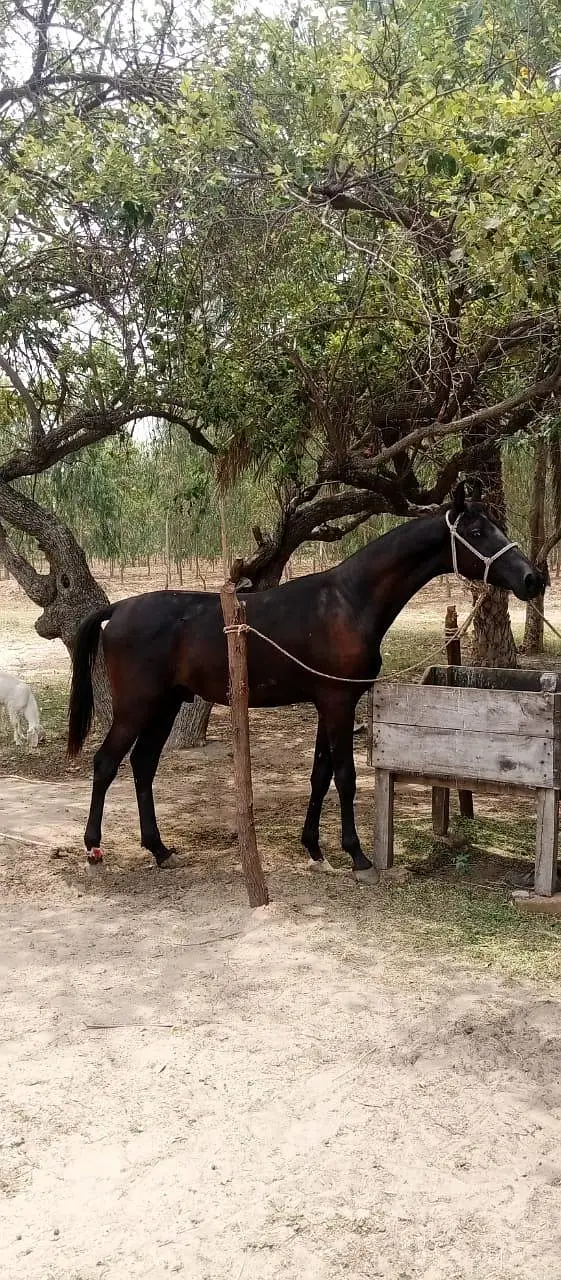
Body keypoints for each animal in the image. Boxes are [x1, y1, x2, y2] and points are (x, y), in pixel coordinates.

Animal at [67, 482, 546, 877]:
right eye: (478, 531)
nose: (532, 578)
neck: (349, 601)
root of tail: (120, 608)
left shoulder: (327, 703)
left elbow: (320, 774)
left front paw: (314, 848)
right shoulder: (338, 702)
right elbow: (346, 776)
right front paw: (357, 855)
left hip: (165, 706)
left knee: (143, 766)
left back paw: (159, 849)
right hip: (136, 708)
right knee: (106, 763)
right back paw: (93, 848)